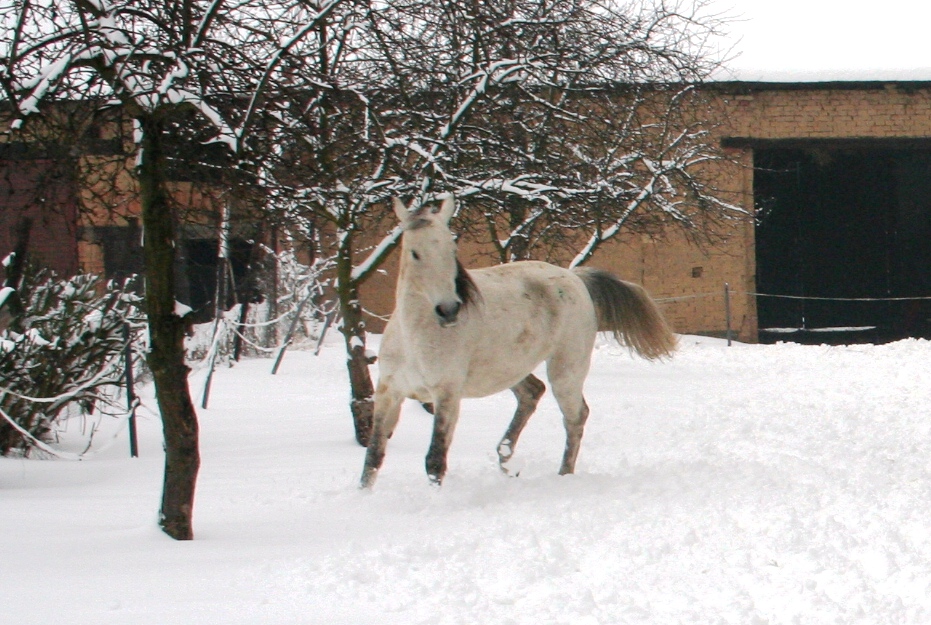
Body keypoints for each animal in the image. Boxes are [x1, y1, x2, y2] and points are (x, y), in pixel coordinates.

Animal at [360, 195, 672, 488]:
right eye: (415, 253)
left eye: (452, 250)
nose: (448, 309)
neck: (414, 338)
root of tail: (574, 277)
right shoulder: (389, 392)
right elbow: (373, 457)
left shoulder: (446, 395)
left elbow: (435, 461)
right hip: (510, 368)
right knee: (532, 393)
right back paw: (507, 459)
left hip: (566, 370)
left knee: (575, 416)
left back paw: (562, 474)